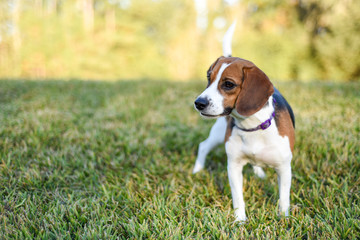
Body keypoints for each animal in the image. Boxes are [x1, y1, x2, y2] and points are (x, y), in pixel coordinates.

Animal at [193, 23, 294, 222]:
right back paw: (197, 170)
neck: (252, 126)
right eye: (209, 78)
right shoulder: (234, 166)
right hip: (218, 134)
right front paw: (240, 220)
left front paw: (284, 218)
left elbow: (283, 198)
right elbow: (238, 197)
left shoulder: (284, 169)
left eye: (228, 84)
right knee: (203, 146)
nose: (198, 103)